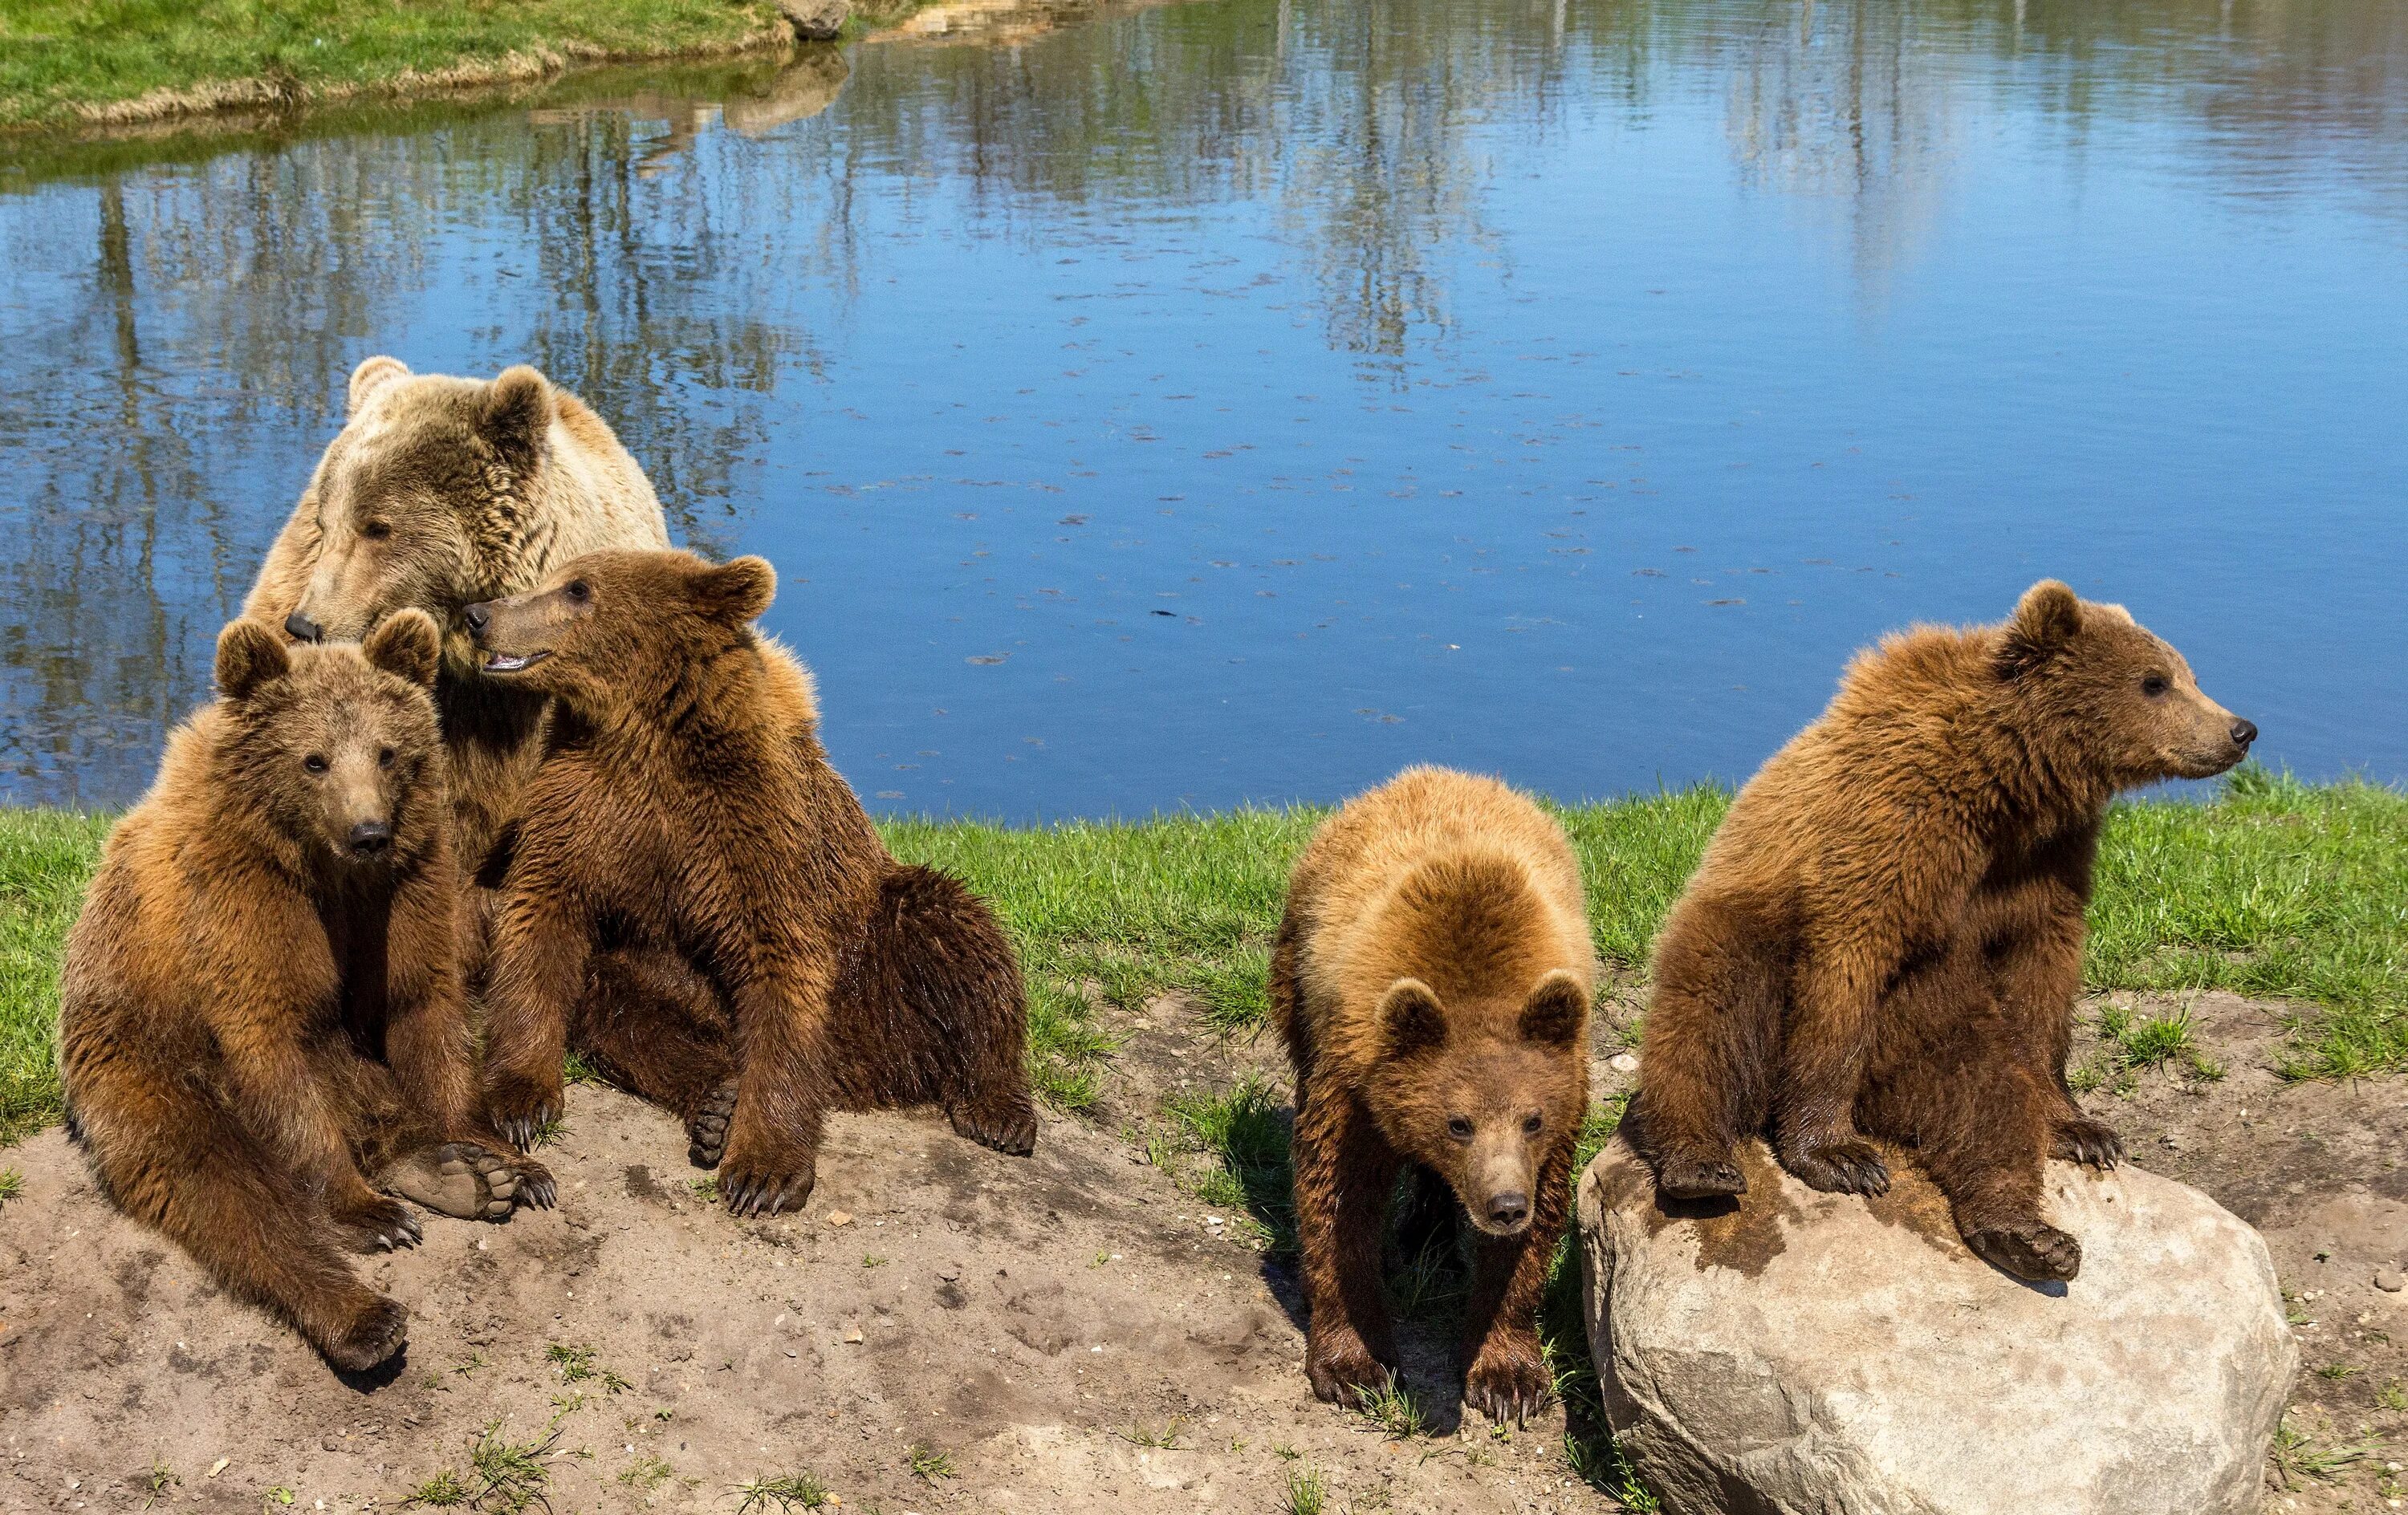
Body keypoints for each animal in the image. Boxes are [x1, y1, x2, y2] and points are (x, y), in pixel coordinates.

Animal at [59, 604, 551, 1367]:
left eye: (386, 752)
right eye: (313, 759)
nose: (369, 831)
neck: (323, 863)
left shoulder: (407, 886)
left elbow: (423, 1007)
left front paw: (506, 1158)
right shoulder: (244, 906)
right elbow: (273, 1050)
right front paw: (365, 1211)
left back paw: (463, 1178)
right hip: (145, 1067)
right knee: (224, 1192)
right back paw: (367, 1312)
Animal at [465, 549, 1040, 1208]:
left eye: (578, 589)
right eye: (553, 579)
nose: (479, 615)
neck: (644, 734)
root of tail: (863, 1074)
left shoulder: (754, 828)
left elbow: (781, 961)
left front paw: (764, 1171)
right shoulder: (584, 808)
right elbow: (541, 919)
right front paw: (519, 1100)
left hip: (876, 941)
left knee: (956, 936)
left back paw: (998, 1108)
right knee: (620, 1007)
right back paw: (716, 1102)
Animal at [1271, 766, 1589, 1415]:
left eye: (1533, 1119)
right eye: (1457, 1122)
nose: (1504, 1204)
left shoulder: (1564, 1100)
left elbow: (1536, 1227)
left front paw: (1507, 1376)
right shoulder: (1353, 1083)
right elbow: (1338, 1201)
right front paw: (1355, 1364)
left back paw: (1433, 1235)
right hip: (1296, 984)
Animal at [1618, 578, 2254, 1271]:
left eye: (2186, 674)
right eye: (2155, 682)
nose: (2240, 729)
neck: (2004, 786)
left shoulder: (2043, 867)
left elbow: (2041, 983)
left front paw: (2082, 1126)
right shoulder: (1893, 830)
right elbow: (1847, 972)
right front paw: (1837, 1155)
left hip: (1915, 1045)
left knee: (1980, 1095)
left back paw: (2026, 1233)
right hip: (1749, 933)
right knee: (1706, 1020)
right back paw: (1699, 1163)